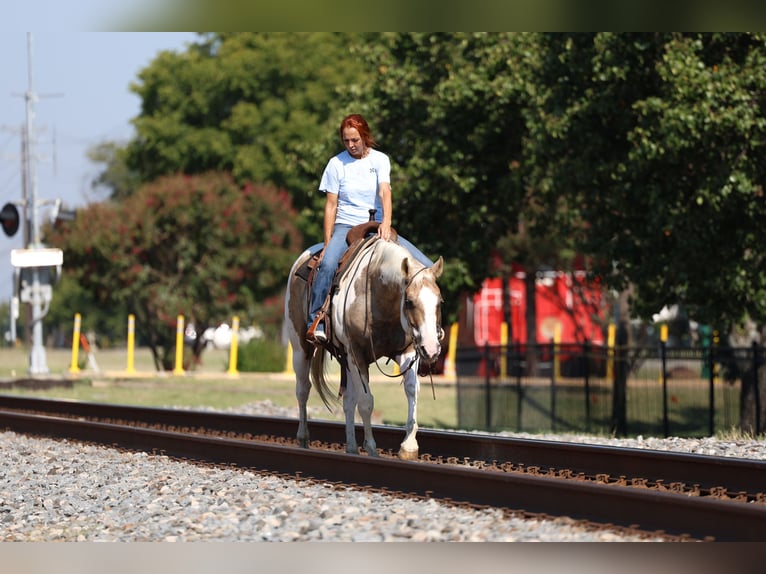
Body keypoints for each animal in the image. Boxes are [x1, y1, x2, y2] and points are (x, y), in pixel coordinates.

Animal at [285, 237, 444, 460]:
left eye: (440, 302)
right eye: (409, 302)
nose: (431, 348)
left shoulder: (407, 351)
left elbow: (411, 390)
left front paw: (409, 447)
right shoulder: (357, 354)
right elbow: (366, 402)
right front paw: (371, 448)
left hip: (344, 360)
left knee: (348, 400)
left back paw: (351, 447)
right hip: (301, 348)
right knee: (303, 390)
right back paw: (303, 438)